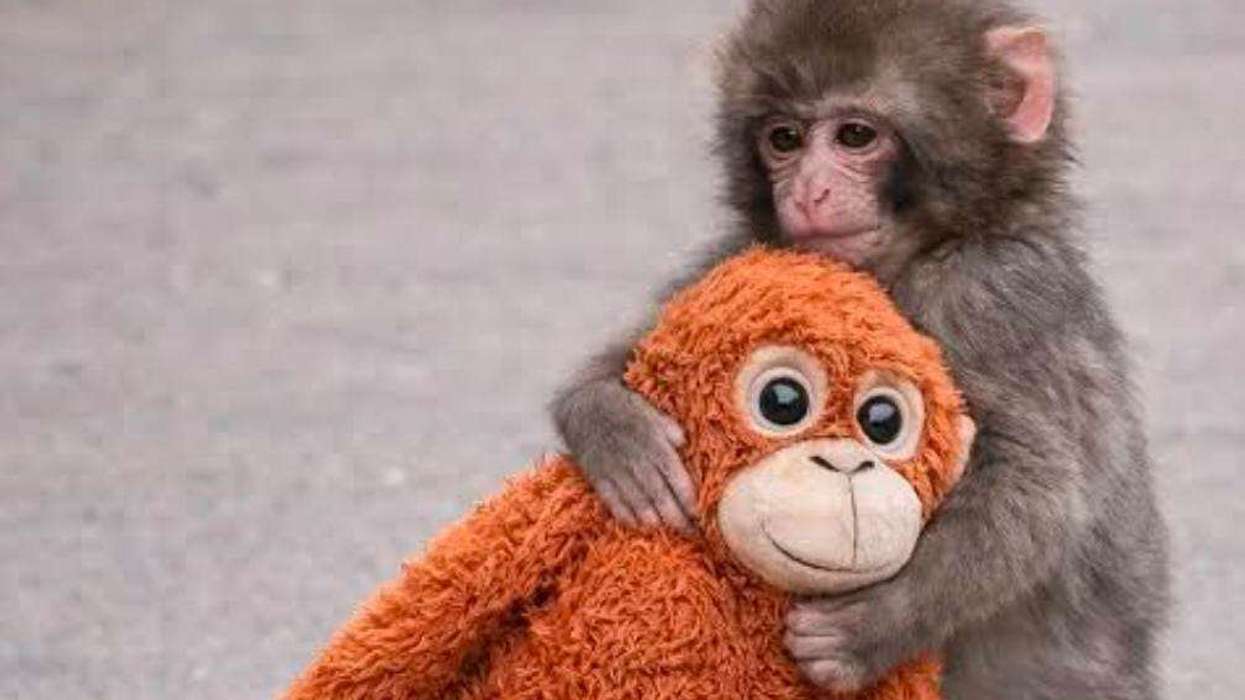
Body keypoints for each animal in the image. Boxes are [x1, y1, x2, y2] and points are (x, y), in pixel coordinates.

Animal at [550, 1, 1170, 698]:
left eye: (854, 136)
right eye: (784, 139)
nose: (809, 191)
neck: (917, 254)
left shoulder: (991, 295)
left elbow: (1039, 488)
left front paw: (867, 630)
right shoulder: (753, 255)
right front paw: (617, 431)